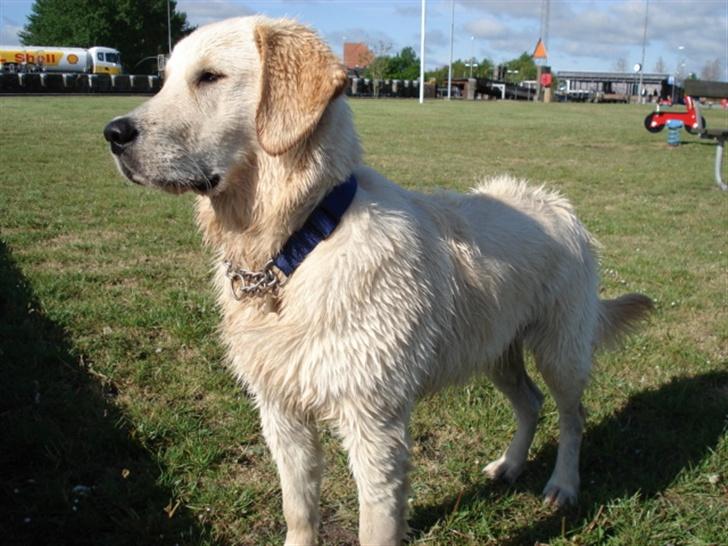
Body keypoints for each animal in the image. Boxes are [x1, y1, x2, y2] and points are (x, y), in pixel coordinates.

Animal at [104, 14, 656, 540]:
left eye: (209, 77)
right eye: (164, 80)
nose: (113, 134)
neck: (298, 244)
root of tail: (558, 204)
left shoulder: (375, 423)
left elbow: (376, 525)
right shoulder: (281, 413)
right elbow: (299, 512)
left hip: (559, 350)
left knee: (572, 415)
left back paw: (563, 485)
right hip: (494, 348)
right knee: (530, 404)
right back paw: (510, 465)